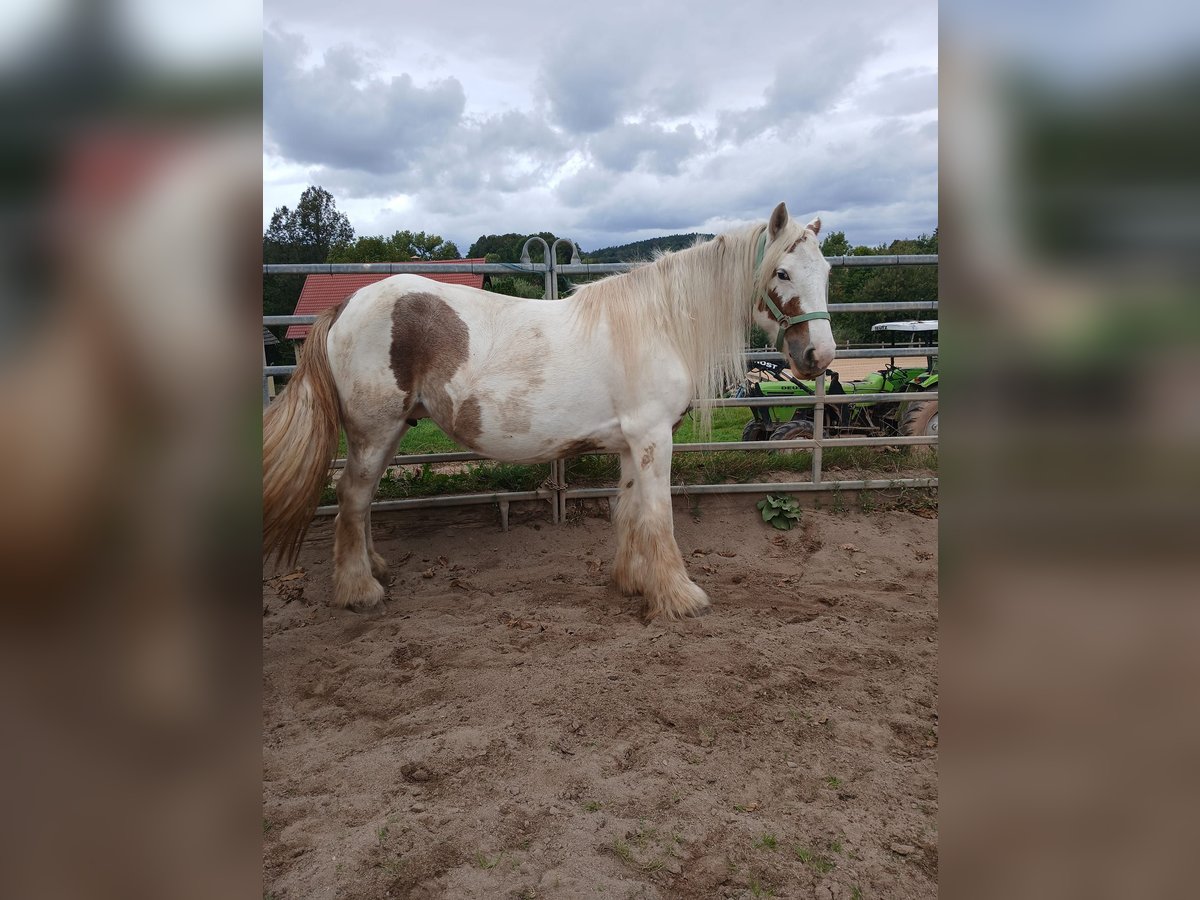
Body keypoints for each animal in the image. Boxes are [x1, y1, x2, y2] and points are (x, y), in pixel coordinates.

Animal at [262, 199, 835, 619]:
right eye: (783, 273)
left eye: (827, 272)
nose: (819, 356)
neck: (657, 324)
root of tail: (346, 305)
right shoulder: (654, 437)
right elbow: (659, 516)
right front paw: (680, 597)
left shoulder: (631, 444)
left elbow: (630, 511)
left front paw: (633, 583)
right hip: (373, 431)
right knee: (352, 496)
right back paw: (359, 590)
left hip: (391, 431)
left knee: (361, 500)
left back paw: (374, 569)